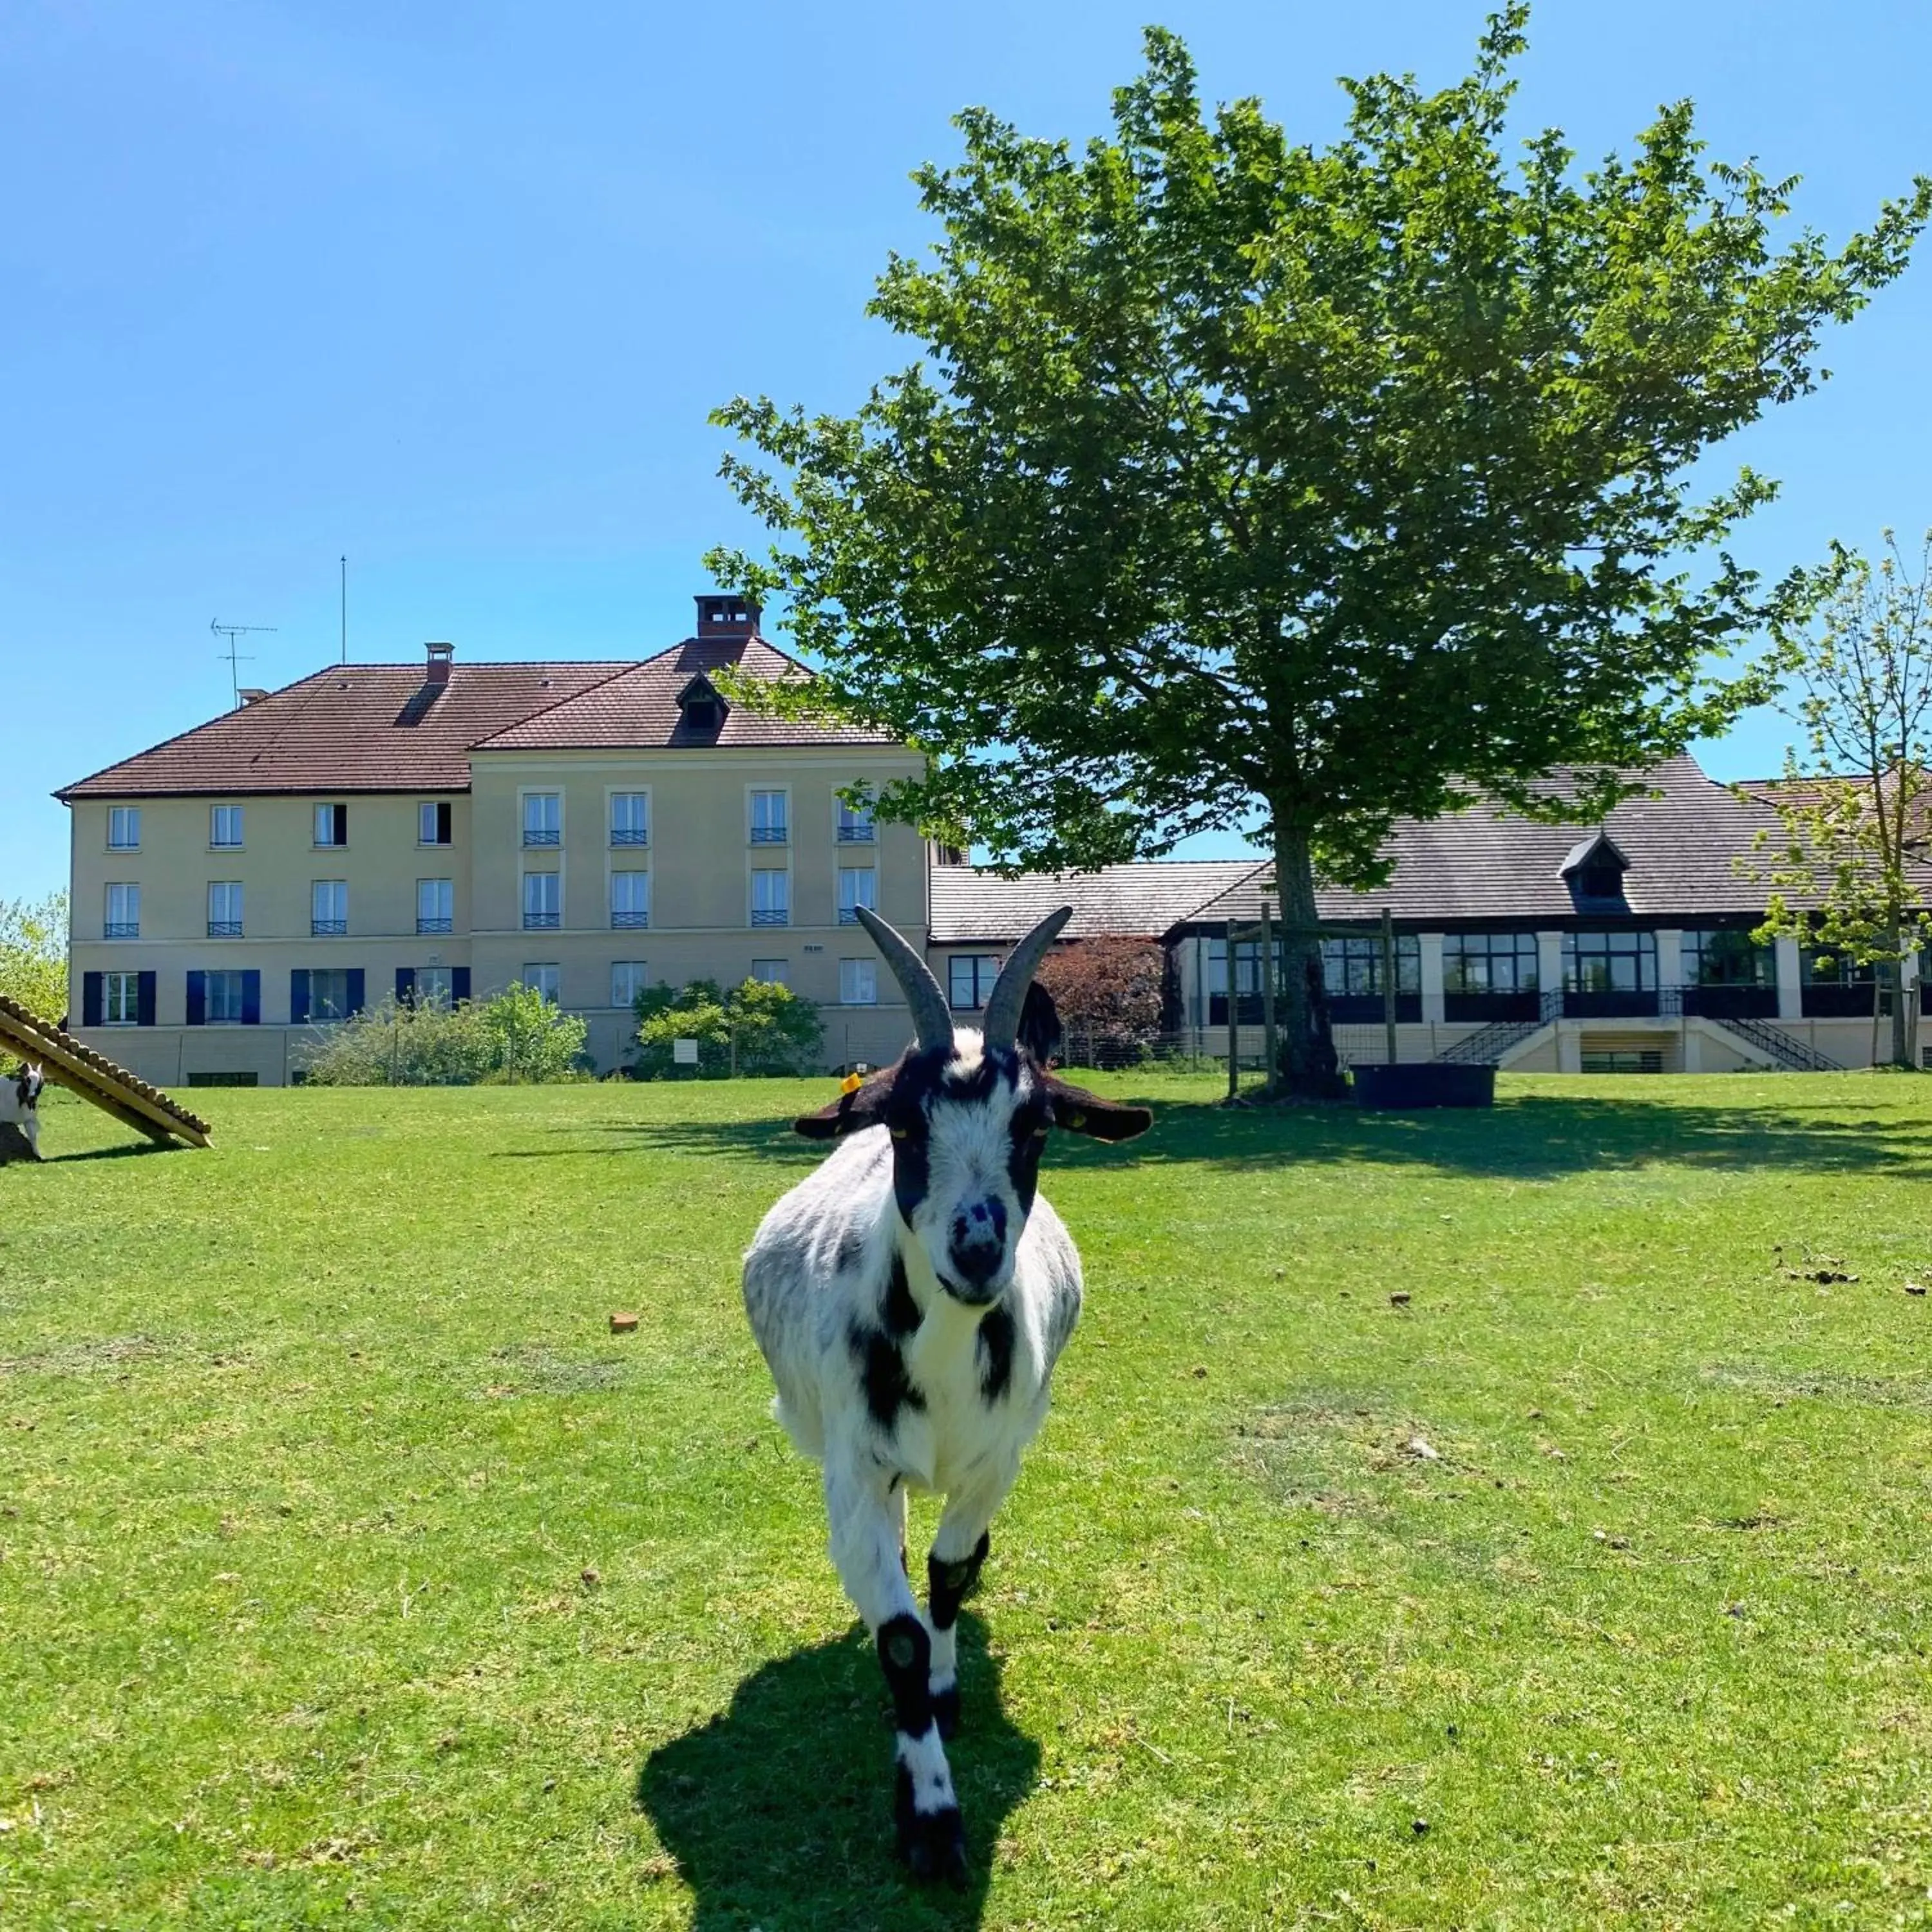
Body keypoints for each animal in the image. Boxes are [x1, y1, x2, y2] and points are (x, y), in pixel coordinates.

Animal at [0, 1059, 46, 1159]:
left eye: (41, 1082)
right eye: (27, 1080)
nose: (32, 1097)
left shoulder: (29, 1120)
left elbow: (33, 1136)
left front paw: (37, 1155)